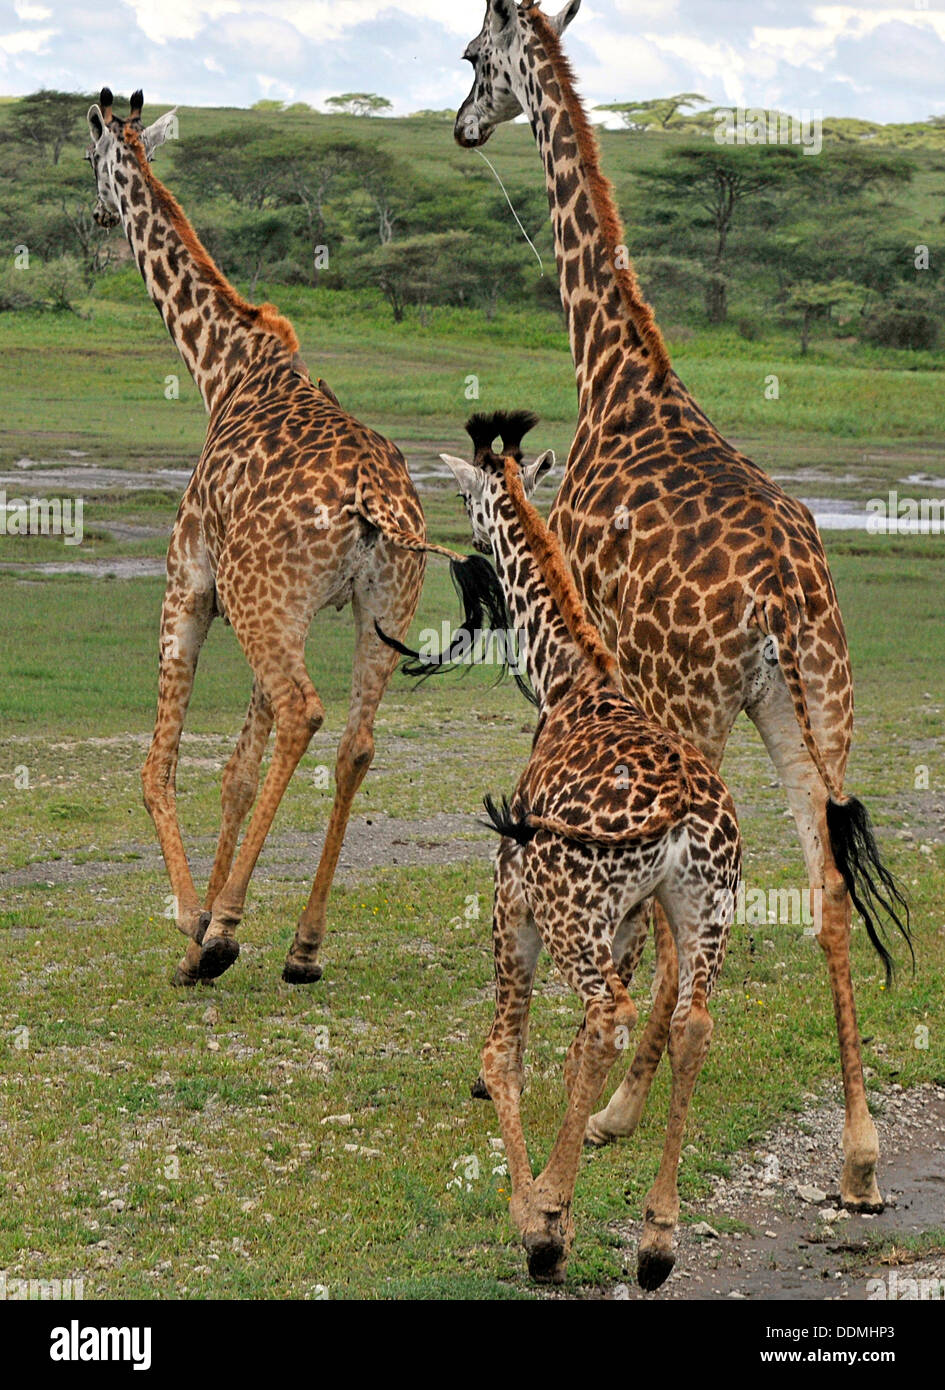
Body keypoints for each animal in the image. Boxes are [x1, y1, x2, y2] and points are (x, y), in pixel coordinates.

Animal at [425, 405, 739, 1284]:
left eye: (461, 495)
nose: (467, 550)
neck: (568, 681)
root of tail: (683, 806)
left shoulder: (514, 900)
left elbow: (505, 1052)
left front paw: (539, 1216)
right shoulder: (627, 919)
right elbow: (568, 1054)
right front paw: (562, 1199)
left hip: (571, 913)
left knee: (605, 1017)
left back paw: (545, 1220)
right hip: (702, 906)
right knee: (691, 1023)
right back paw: (657, 1238)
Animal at [453, 2, 911, 1217]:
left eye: (471, 59)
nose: (462, 124)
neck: (620, 375)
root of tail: (785, 594)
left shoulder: (582, 654)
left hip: (698, 704)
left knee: (681, 918)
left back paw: (615, 1112)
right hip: (816, 706)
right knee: (827, 886)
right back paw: (857, 1155)